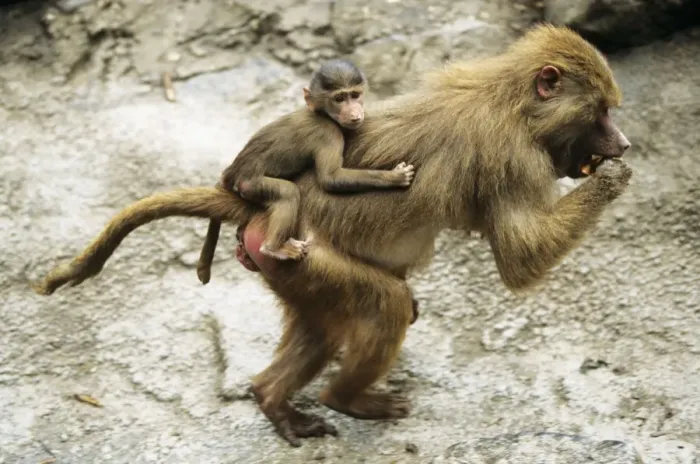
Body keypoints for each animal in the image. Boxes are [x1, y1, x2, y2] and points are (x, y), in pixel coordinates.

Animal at [195, 59, 415, 285]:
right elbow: (331, 178)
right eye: (339, 98)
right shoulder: (329, 134)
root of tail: (235, 169)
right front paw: (394, 177)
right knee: (288, 193)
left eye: (355, 95)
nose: (355, 113)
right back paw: (273, 249)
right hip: (250, 184)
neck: (322, 114)